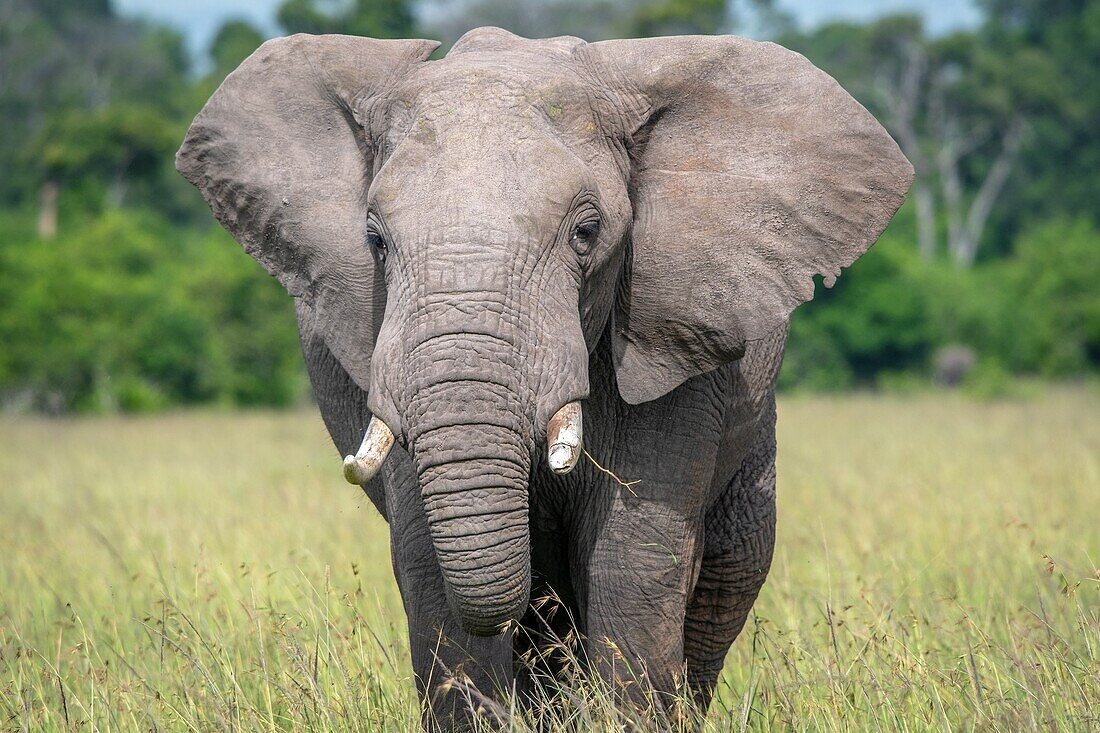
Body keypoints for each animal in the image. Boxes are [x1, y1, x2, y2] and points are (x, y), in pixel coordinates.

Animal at [178, 25, 910, 726]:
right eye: (374, 240)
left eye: (586, 233)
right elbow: (431, 572)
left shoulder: (671, 350)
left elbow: (633, 560)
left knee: (727, 575)